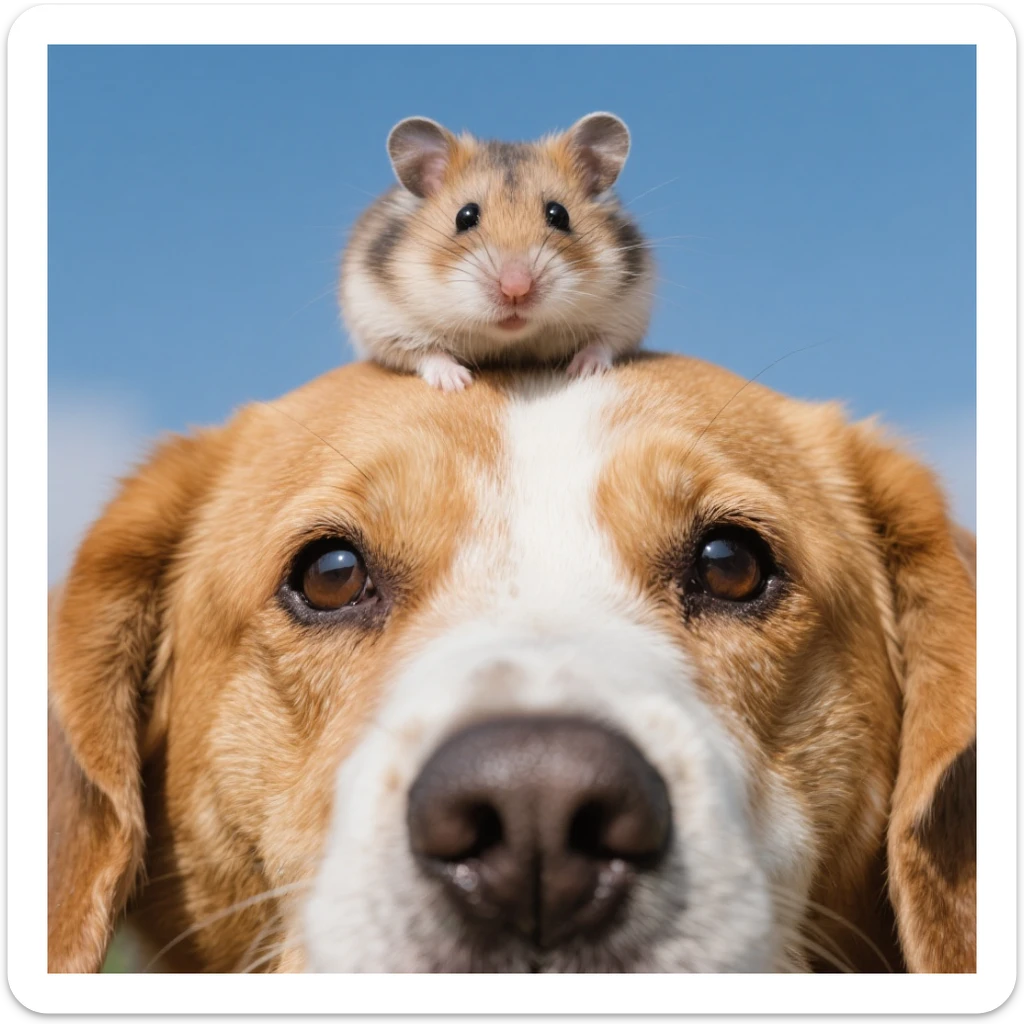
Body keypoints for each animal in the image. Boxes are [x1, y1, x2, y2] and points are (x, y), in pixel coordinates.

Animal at [339, 113, 655, 391]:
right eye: (465, 217)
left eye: (559, 215)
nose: (516, 289)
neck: (511, 340)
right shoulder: (383, 320)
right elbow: (425, 353)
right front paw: (457, 383)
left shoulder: (628, 312)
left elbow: (603, 343)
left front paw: (583, 370)